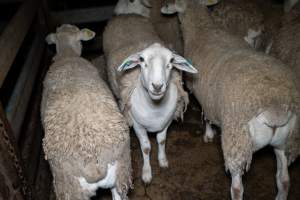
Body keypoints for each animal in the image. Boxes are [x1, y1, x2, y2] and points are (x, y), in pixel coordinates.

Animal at [102, 14, 198, 183]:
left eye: (171, 61)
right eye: (141, 59)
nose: (157, 86)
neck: (155, 108)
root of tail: (126, 15)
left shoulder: (166, 122)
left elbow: (161, 141)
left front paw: (163, 160)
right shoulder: (137, 125)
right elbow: (146, 148)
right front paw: (146, 173)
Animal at [163, 0, 300, 199]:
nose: (164, 8)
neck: (202, 29)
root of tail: (276, 107)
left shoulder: (201, 92)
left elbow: (207, 115)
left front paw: (208, 134)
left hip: (237, 140)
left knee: (237, 188)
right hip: (286, 142)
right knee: (284, 180)